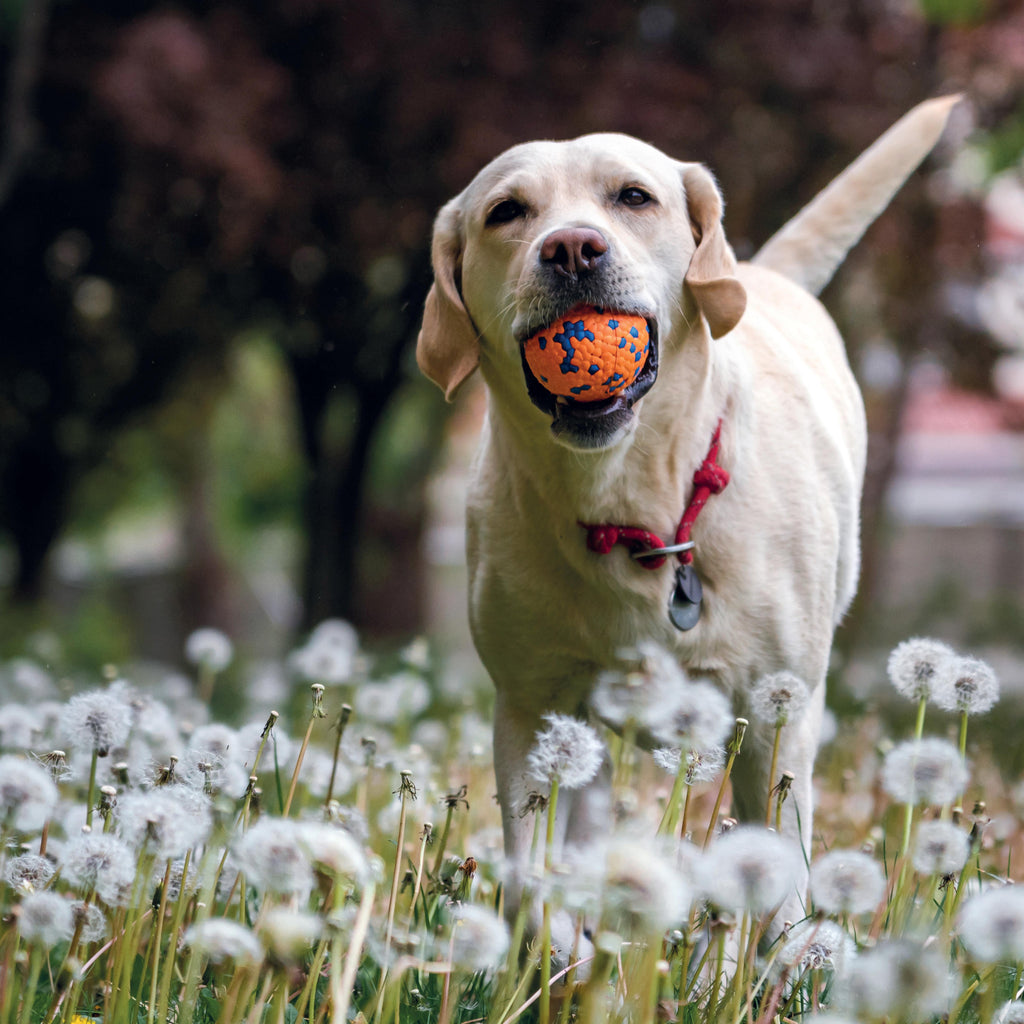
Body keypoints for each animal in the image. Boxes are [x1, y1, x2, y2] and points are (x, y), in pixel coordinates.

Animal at [415, 97, 958, 942]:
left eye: (634, 197)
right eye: (507, 211)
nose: (571, 248)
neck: (630, 500)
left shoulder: (775, 713)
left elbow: (779, 878)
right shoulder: (532, 707)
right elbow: (534, 878)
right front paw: (551, 956)